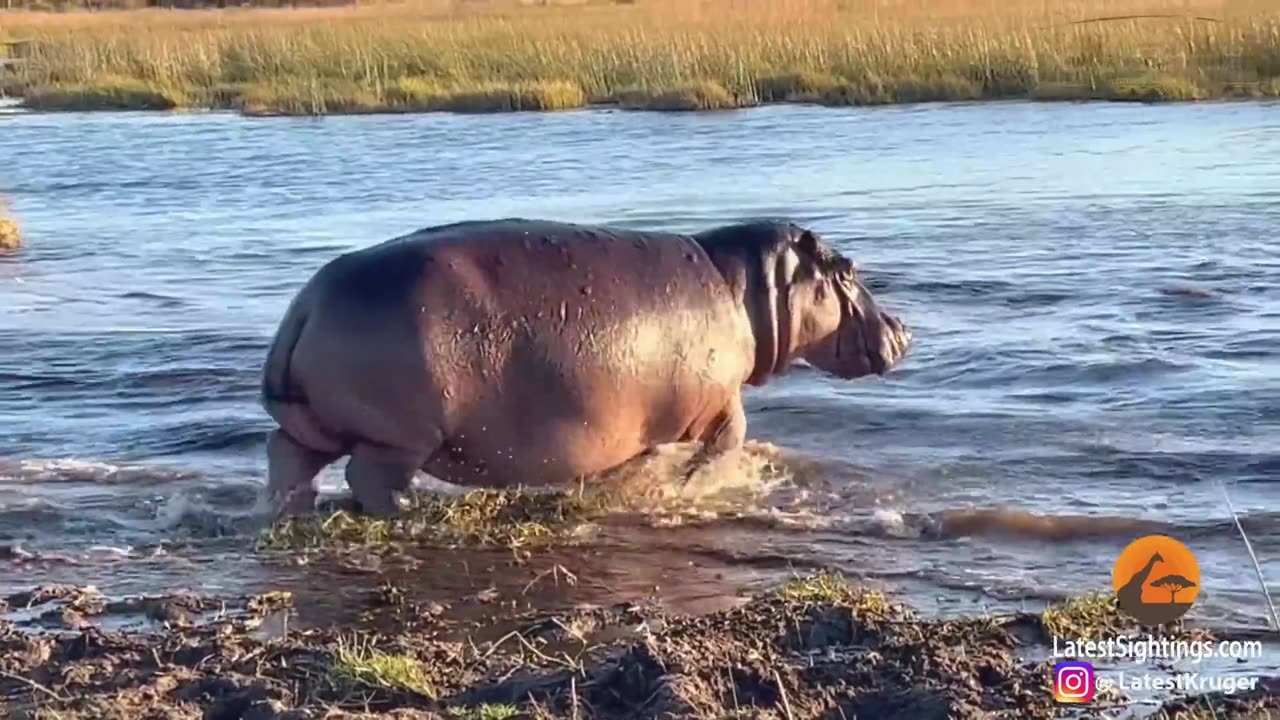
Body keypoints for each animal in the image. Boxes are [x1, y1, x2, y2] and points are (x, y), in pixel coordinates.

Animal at [259, 217, 911, 515]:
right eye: (847, 269)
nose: (903, 329)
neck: (748, 284)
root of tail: (308, 301)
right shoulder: (721, 400)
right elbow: (728, 441)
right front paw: (685, 485)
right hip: (398, 436)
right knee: (368, 478)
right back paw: (407, 510)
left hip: (318, 425)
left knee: (287, 457)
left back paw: (291, 511)